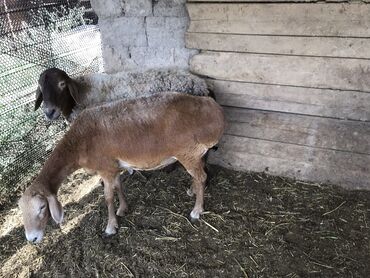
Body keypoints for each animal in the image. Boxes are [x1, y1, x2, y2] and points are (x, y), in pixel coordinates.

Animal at [18, 92, 225, 242]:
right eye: (21, 211)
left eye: (42, 207)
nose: (32, 239)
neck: (78, 143)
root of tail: (213, 108)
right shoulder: (113, 167)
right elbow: (119, 186)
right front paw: (123, 209)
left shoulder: (106, 169)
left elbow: (108, 197)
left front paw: (111, 226)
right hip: (195, 152)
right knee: (200, 172)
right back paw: (192, 190)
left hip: (187, 151)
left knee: (201, 176)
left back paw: (197, 210)